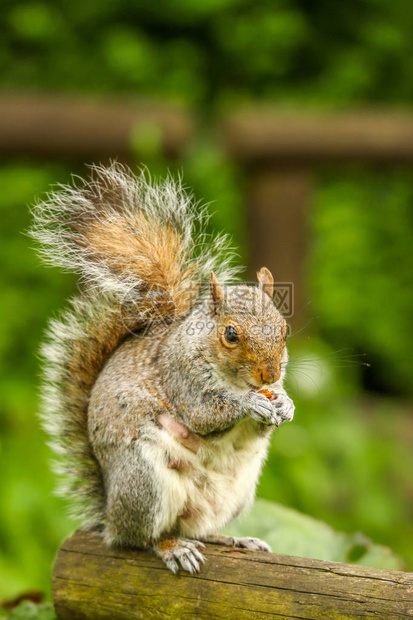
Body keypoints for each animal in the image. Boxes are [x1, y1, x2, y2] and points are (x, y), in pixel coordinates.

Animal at [30, 162, 294, 572]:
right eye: (231, 334)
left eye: (284, 329)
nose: (270, 375)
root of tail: (110, 515)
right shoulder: (180, 376)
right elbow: (204, 414)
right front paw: (250, 403)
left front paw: (285, 403)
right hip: (145, 481)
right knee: (142, 539)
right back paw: (172, 548)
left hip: (234, 495)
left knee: (199, 528)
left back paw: (236, 539)